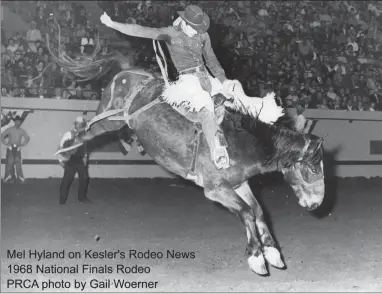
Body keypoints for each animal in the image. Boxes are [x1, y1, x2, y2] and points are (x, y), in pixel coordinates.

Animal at [51, 35, 326, 274]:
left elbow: (257, 211)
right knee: (84, 131)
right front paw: (257, 258)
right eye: (313, 168)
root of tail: (130, 72)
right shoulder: (215, 189)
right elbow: (247, 212)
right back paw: (64, 152)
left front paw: (273, 253)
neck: (244, 141)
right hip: (111, 120)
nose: (316, 203)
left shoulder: (239, 184)